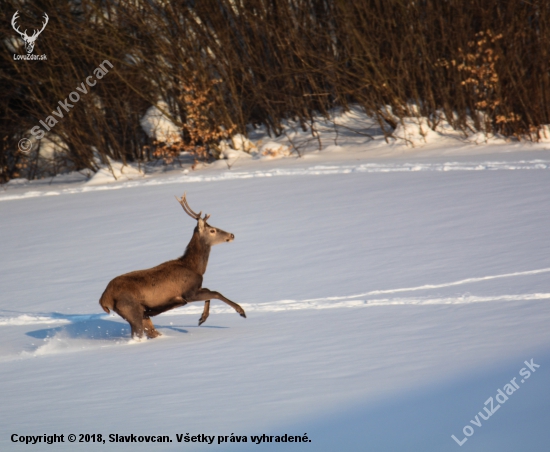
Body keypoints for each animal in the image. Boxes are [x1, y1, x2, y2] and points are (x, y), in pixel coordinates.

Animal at [98, 194, 246, 340]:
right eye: (212, 230)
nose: (231, 235)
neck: (195, 268)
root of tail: (104, 298)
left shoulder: (192, 291)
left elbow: (209, 291)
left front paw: (202, 318)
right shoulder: (188, 293)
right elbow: (215, 292)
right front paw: (241, 311)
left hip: (138, 312)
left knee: (150, 331)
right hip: (130, 309)